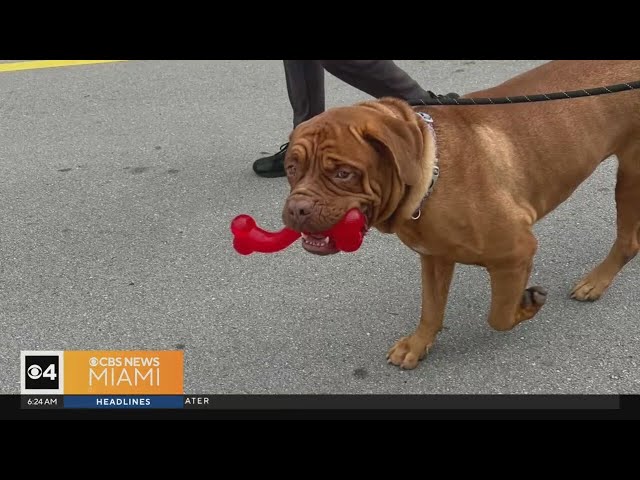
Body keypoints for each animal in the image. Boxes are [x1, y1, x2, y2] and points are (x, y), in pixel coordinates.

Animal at [280, 60, 640, 368]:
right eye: (291, 168)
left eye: (343, 173)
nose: (297, 208)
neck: (430, 174)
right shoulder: (434, 257)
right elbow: (431, 308)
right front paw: (418, 344)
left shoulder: (516, 252)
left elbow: (499, 315)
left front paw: (526, 304)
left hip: (630, 175)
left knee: (628, 241)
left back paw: (596, 281)